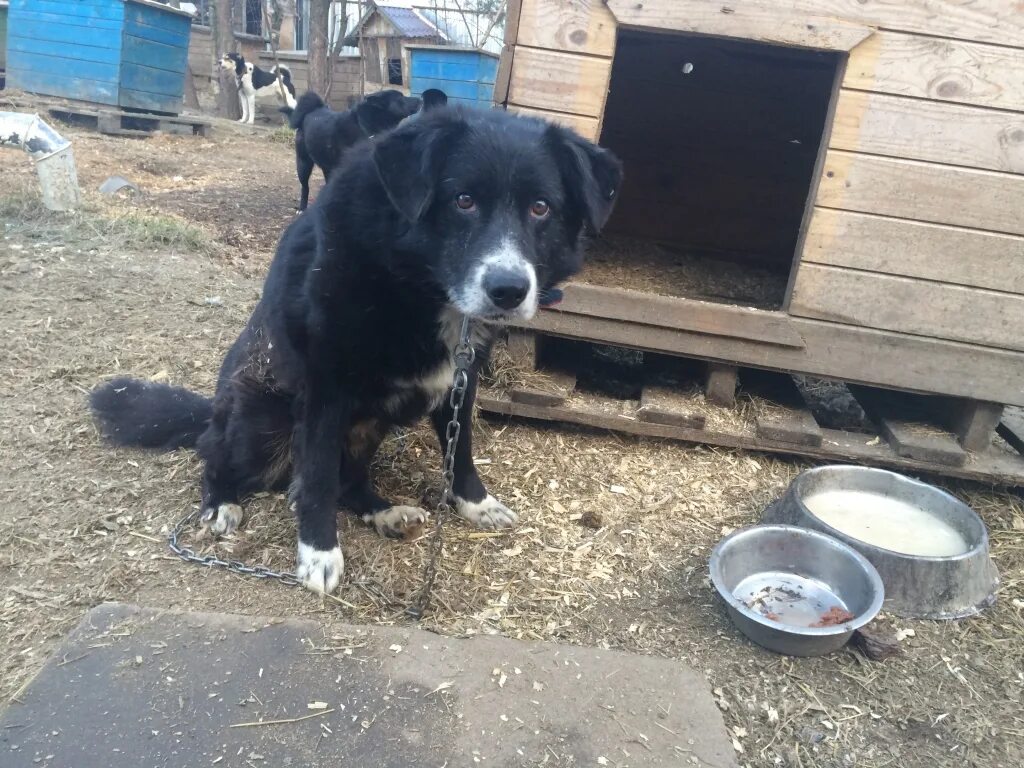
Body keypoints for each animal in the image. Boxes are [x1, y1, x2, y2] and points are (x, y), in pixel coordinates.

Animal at [92, 107, 622, 593]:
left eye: (540, 207)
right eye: (464, 200)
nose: (509, 290)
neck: (414, 280)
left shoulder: (461, 380)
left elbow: (461, 449)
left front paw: (475, 503)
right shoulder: (325, 388)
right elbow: (319, 475)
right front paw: (318, 552)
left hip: (368, 428)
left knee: (349, 481)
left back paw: (385, 512)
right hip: (259, 420)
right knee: (216, 450)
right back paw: (221, 500)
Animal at [284, 89, 419, 211]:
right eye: (401, 97)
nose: (420, 99)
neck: (365, 128)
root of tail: (312, 111)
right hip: (303, 164)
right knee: (305, 187)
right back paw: (302, 208)